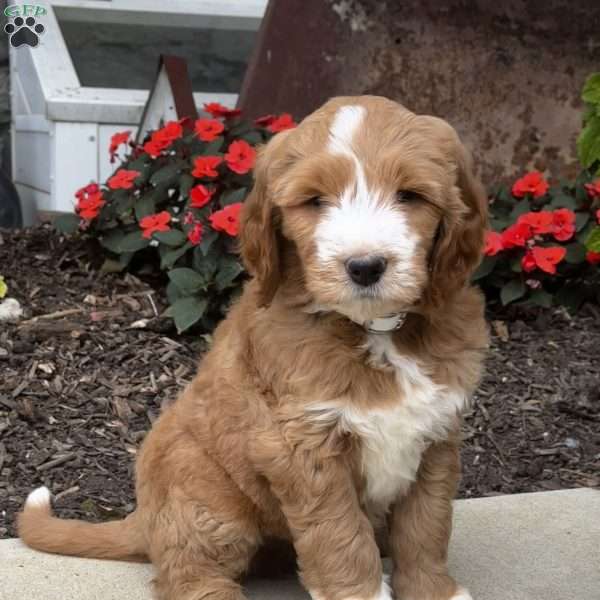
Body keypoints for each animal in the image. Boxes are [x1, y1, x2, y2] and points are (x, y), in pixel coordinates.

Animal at [18, 97, 488, 600]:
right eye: (315, 201)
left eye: (410, 195)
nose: (365, 266)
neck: (375, 329)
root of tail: (144, 518)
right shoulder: (301, 446)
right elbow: (340, 534)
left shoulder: (437, 434)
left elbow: (427, 525)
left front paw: (433, 589)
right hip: (207, 499)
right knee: (188, 573)